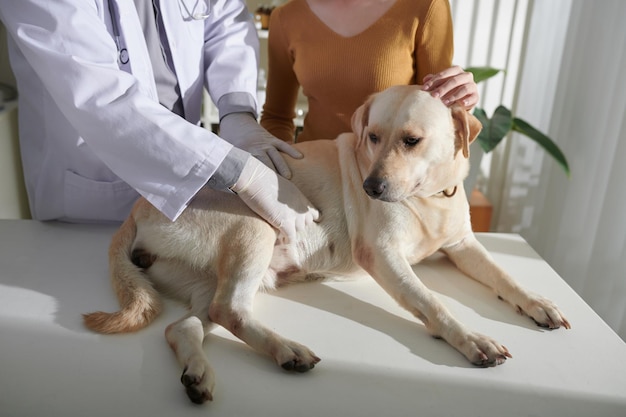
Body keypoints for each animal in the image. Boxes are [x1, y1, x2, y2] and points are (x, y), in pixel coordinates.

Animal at [84, 85, 572, 404]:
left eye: (412, 141)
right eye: (372, 136)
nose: (371, 187)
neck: (429, 197)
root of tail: (138, 209)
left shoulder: (464, 245)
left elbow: (505, 276)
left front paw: (538, 303)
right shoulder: (383, 256)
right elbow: (433, 303)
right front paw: (471, 339)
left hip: (208, 280)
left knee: (183, 326)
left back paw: (199, 372)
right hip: (255, 228)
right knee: (230, 310)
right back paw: (287, 350)